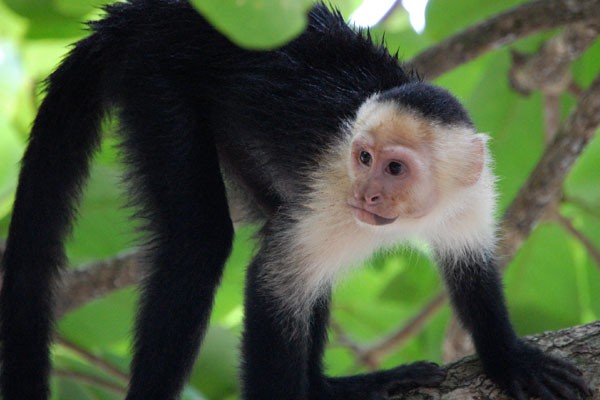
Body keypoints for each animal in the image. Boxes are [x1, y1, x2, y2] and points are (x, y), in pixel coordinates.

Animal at [0, 0, 592, 400]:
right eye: (363, 158)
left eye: (395, 168)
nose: (367, 192)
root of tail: (147, 12)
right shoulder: (334, 194)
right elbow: (272, 284)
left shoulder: (472, 194)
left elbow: (472, 271)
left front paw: (507, 358)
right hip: (158, 80)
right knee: (200, 245)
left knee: (278, 227)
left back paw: (330, 390)